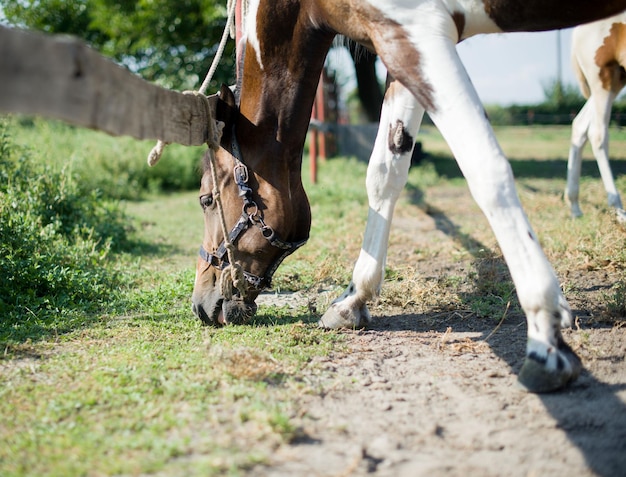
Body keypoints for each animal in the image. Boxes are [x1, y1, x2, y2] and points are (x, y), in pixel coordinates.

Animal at [564, 12, 624, 221]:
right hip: (603, 76)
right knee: (598, 134)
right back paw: (618, 209)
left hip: (617, 78)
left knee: (580, 124)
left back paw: (574, 206)